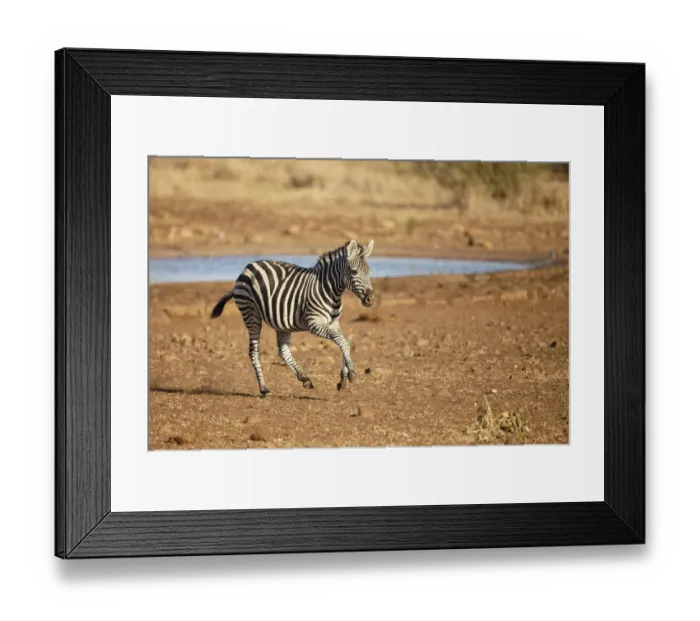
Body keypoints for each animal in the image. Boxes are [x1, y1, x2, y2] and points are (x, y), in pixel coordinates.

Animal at [210, 239, 376, 396]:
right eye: (354, 272)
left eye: (369, 272)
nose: (370, 300)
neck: (330, 291)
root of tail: (248, 267)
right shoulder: (314, 324)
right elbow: (344, 343)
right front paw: (351, 374)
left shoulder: (334, 323)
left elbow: (343, 342)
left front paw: (343, 379)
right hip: (251, 314)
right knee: (254, 352)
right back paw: (264, 388)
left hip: (281, 322)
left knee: (282, 351)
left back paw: (304, 379)